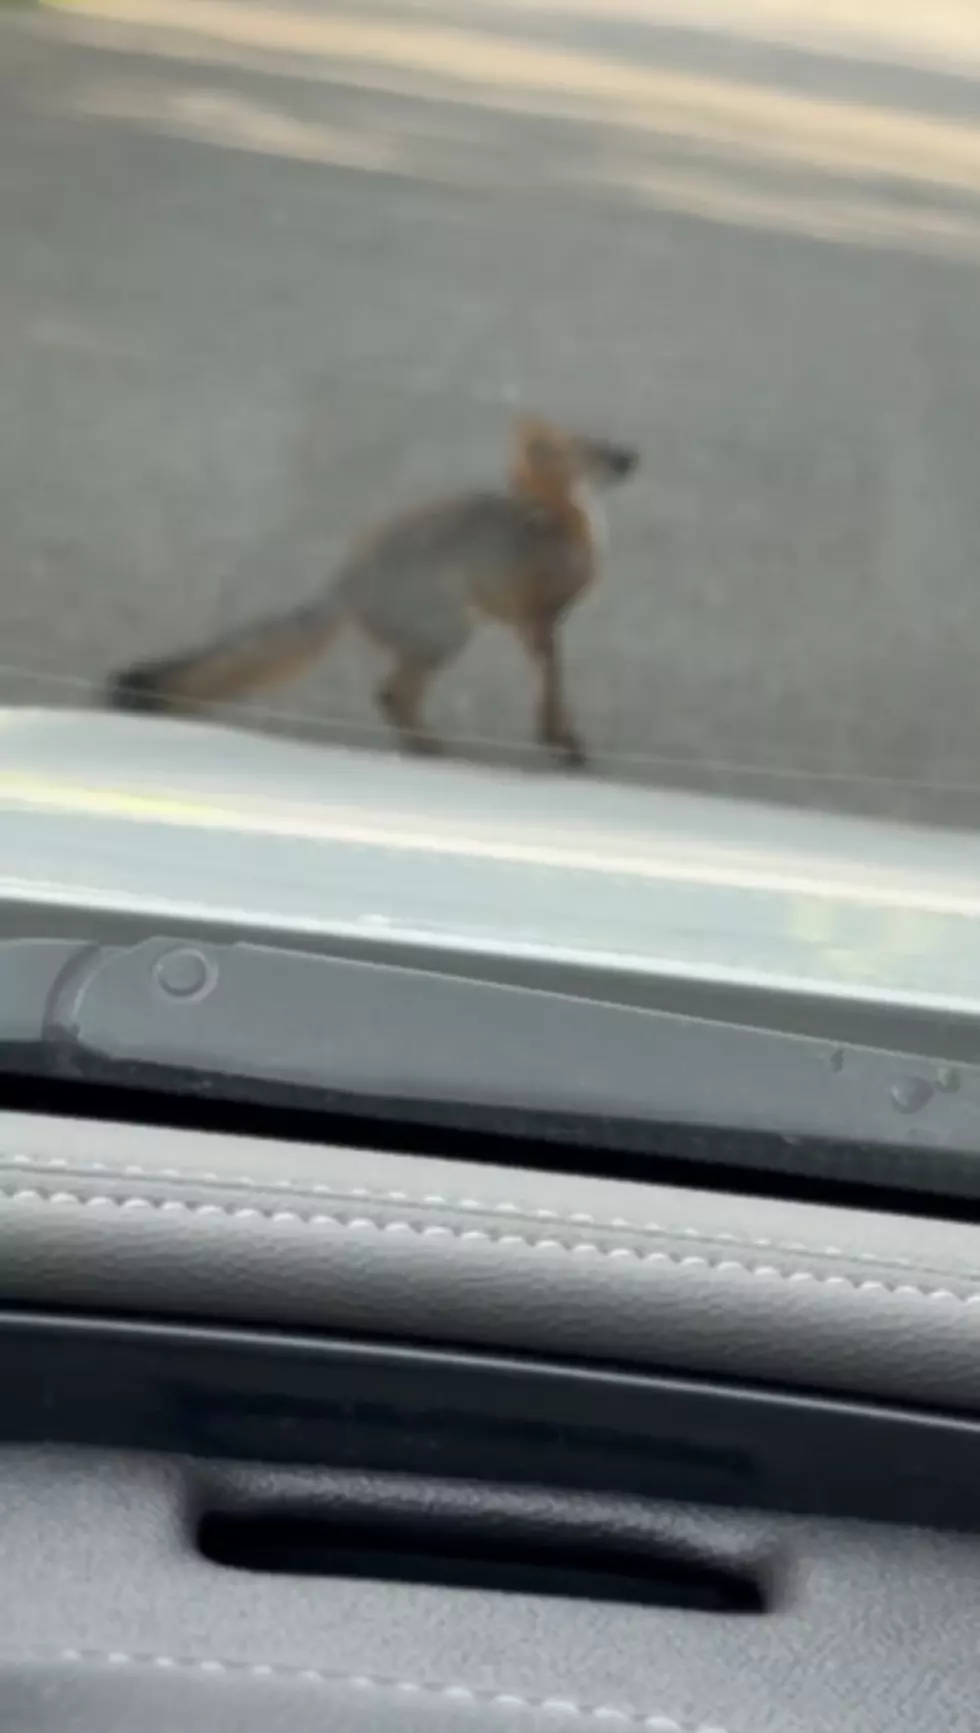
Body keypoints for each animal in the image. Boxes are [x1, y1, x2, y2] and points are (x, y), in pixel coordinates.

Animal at [104, 415, 638, 766]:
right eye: (600, 452)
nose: (632, 457)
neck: (566, 522)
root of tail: (348, 580)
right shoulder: (540, 619)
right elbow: (553, 685)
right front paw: (561, 741)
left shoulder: (530, 625)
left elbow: (550, 686)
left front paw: (558, 735)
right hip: (450, 634)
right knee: (391, 693)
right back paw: (427, 748)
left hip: (447, 633)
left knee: (391, 694)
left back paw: (421, 746)